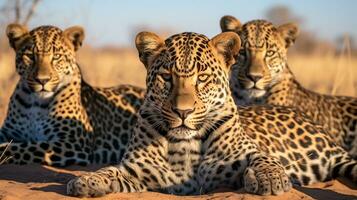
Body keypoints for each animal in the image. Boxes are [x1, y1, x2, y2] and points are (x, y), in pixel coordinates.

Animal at [0, 24, 145, 166]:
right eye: (30, 56)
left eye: (57, 56)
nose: (42, 80)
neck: (36, 103)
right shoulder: (8, 131)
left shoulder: (71, 143)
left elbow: (26, 147)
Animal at [67, 31, 356, 197]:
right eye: (166, 77)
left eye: (203, 78)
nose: (183, 111)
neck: (184, 145)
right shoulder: (137, 170)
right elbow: (109, 171)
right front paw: (86, 181)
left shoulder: (248, 152)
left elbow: (264, 159)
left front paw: (271, 180)